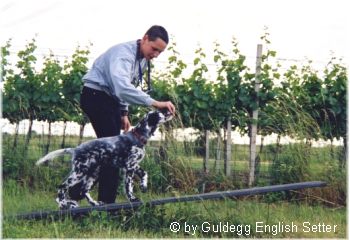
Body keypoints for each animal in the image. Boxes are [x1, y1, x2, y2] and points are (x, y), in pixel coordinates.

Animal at [36, 109, 173, 209]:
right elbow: (128, 187)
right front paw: (133, 199)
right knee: (62, 187)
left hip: (93, 173)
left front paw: (143, 186)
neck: (138, 136)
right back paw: (64, 203)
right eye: (160, 112)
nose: (169, 110)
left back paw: (94, 203)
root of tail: (75, 149)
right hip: (79, 172)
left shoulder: (134, 165)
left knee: (83, 190)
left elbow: (145, 173)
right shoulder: (129, 167)